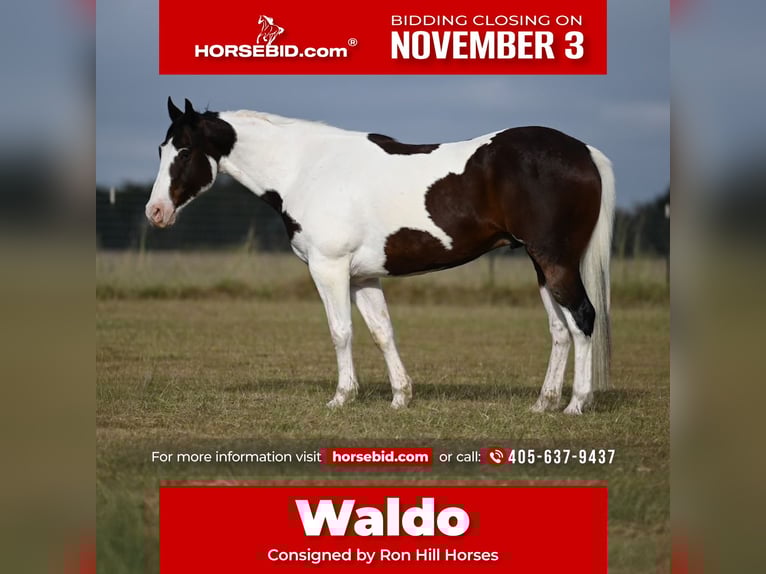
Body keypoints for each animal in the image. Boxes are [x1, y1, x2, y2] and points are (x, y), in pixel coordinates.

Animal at [146, 98, 615, 414]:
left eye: (184, 151)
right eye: (161, 150)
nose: (156, 212)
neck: (306, 169)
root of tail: (584, 152)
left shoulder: (330, 269)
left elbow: (341, 332)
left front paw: (341, 398)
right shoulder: (363, 277)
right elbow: (382, 332)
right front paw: (400, 397)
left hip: (555, 261)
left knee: (583, 318)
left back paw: (576, 404)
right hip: (541, 264)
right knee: (560, 329)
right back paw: (543, 403)